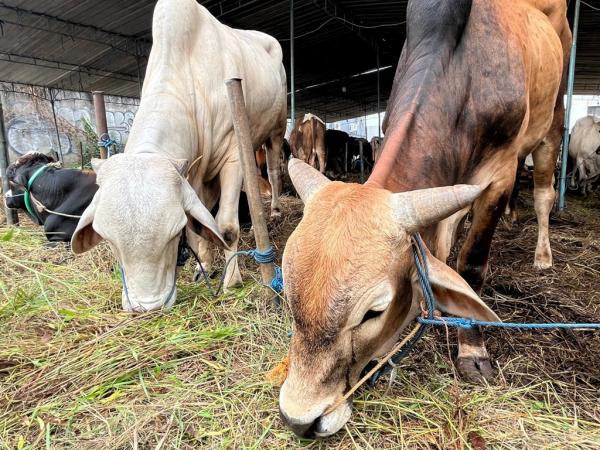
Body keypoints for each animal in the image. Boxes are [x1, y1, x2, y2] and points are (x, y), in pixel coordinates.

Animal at [69, 0, 286, 312]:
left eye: (173, 234)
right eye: (108, 239)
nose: (148, 306)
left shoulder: (232, 154)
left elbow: (226, 226)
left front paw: (232, 280)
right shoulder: (194, 172)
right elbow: (199, 228)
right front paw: (203, 266)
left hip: (276, 129)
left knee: (273, 168)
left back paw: (275, 209)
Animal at [278, 0, 568, 440]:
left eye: (374, 312)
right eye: (290, 297)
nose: (298, 419)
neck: (465, 74)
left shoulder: (499, 176)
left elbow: (472, 265)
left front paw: (473, 350)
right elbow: (441, 257)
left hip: (552, 123)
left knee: (542, 193)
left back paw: (542, 255)